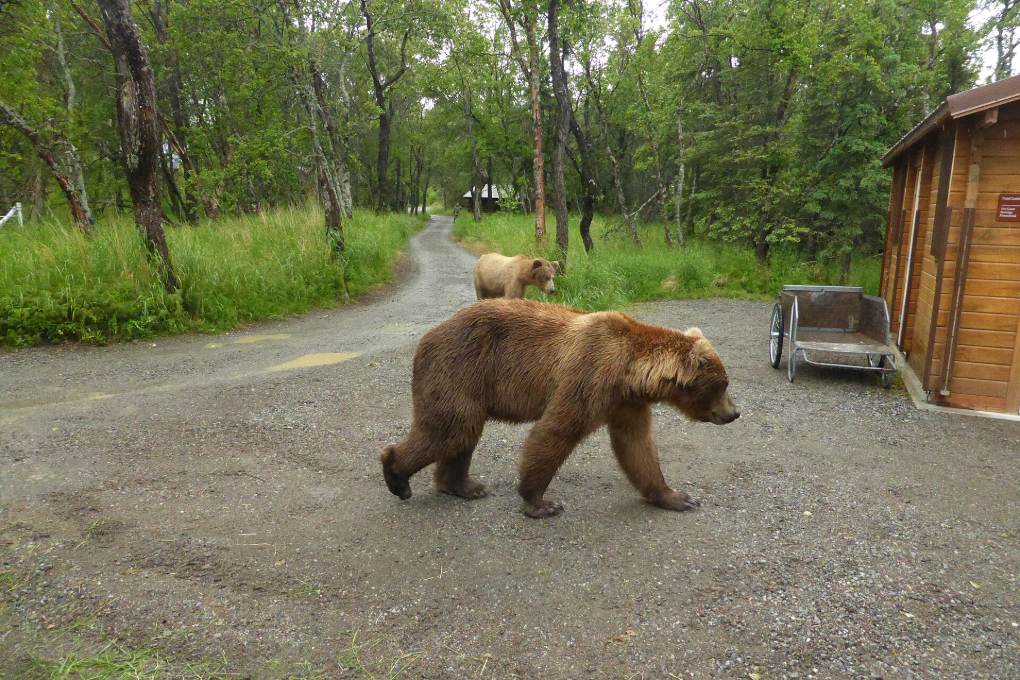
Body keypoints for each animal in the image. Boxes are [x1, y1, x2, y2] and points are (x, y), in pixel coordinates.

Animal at [380, 298, 740, 518]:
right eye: (722, 385)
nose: (734, 413)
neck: (630, 371)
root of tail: (425, 338)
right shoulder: (590, 373)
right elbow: (556, 430)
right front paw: (540, 502)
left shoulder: (627, 401)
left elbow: (637, 445)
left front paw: (677, 497)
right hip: (459, 370)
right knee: (450, 430)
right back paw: (397, 476)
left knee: (462, 434)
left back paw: (464, 486)